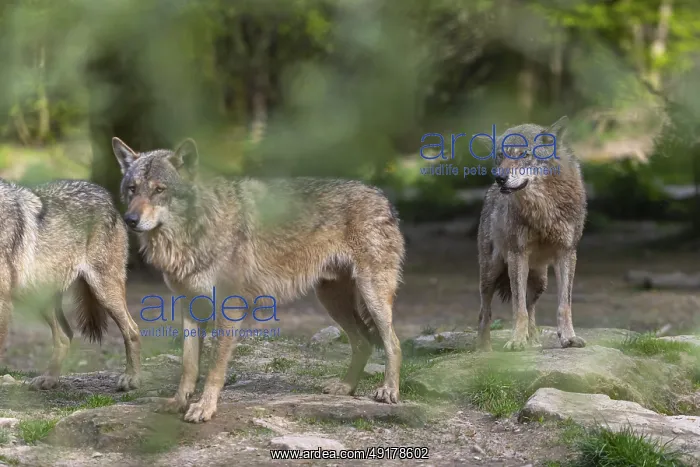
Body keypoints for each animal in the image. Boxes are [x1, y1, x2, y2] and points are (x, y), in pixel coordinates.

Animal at [0, 179, 141, 390]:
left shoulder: (3, 303)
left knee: (132, 330)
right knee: (65, 337)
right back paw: (49, 379)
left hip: (104, 292)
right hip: (43, 299)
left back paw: (132, 378)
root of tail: (105, 196)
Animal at [111, 136, 405, 423]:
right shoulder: (190, 306)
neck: (193, 233)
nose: (130, 219)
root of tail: (381, 196)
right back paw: (346, 387)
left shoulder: (229, 309)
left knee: (393, 342)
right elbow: (189, 364)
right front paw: (178, 403)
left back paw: (388, 391)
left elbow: (214, 368)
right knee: (364, 343)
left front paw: (204, 408)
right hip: (332, 301)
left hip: (372, 297)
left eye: (159, 190)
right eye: (132, 189)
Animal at [474, 116, 587, 351]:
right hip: (490, 273)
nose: (500, 178)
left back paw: (533, 339)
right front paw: (516, 341)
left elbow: (564, 305)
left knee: (531, 305)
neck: (543, 209)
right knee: (485, 311)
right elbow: (518, 309)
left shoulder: (567, 253)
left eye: (524, 154)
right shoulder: (517, 255)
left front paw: (569, 338)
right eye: (501, 155)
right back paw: (484, 348)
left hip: (540, 281)